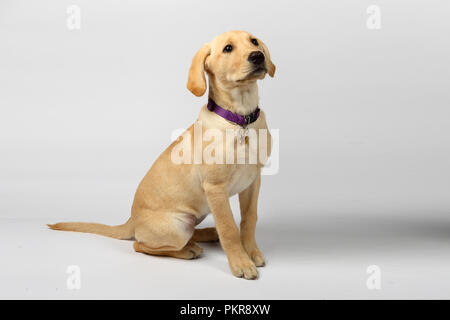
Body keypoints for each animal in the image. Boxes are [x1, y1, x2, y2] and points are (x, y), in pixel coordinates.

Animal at [48, 30, 274, 280]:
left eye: (254, 41)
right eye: (227, 48)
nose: (257, 56)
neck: (241, 119)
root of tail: (131, 220)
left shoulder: (253, 181)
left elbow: (248, 219)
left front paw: (251, 251)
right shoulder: (215, 188)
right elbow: (229, 228)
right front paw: (240, 262)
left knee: (188, 233)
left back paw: (207, 233)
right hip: (176, 227)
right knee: (142, 244)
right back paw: (188, 249)